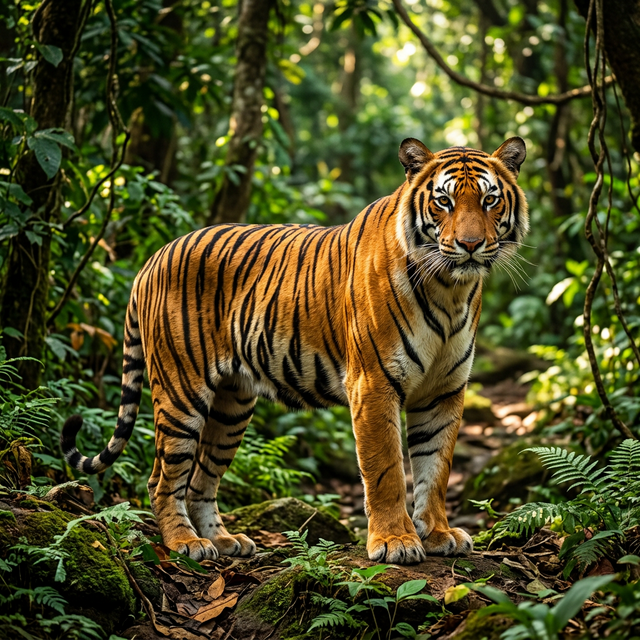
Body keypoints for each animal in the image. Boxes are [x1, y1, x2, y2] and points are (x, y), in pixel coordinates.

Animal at [61, 136, 528, 565]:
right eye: (443, 202)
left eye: (489, 200)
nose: (470, 245)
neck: (450, 289)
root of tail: (153, 258)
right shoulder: (374, 385)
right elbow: (387, 471)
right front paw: (395, 541)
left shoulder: (444, 390)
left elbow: (436, 469)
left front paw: (438, 534)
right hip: (182, 393)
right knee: (162, 478)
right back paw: (185, 544)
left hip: (231, 407)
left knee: (201, 480)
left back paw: (224, 541)